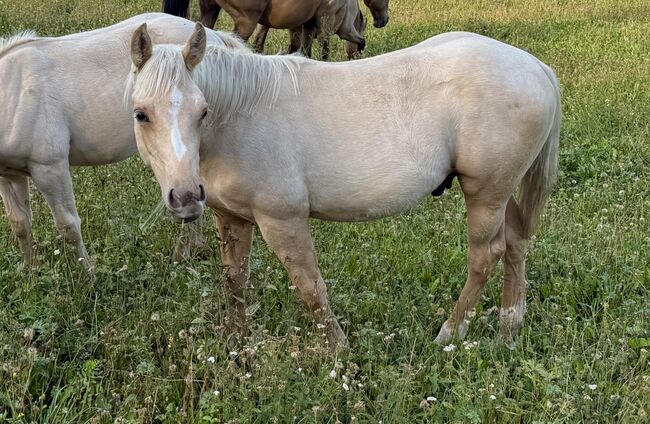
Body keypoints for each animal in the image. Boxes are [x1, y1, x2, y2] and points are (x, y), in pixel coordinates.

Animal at [0, 14, 245, 274]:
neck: (14, 93)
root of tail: (216, 36)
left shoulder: (50, 170)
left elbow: (69, 227)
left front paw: (89, 277)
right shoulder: (10, 175)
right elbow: (20, 223)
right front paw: (31, 271)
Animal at [126, 23, 560, 348]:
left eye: (203, 111)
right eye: (141, 114)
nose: (185, 197)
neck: (241, 115)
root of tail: (535, 66)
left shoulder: (283, 221)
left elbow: (310, 287)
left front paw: (338, 351)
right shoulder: (230, 217)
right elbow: (235, 281)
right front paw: (236, 343)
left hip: (486, 195)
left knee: (486, 256)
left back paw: (449, 333)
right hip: (501, 193)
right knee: (516, 241)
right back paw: (508, 328)